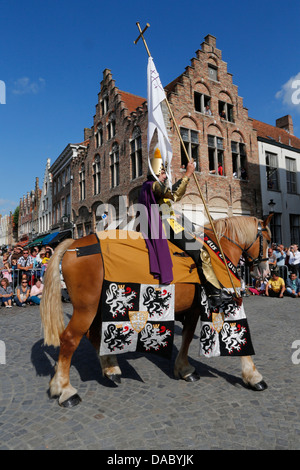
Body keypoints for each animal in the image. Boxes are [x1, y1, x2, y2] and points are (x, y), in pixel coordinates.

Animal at [39, 215, 272, 406]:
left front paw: (184, 369)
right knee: (69, 339)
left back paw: (111, 369)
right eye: (268, 240)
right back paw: (65, 390)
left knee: (93, 335)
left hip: (96, 308)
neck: (219, 252)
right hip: (86, 308)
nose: (266, 272)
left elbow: (187, 336)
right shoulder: (225, 302)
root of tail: (74, 244)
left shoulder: (194, 309)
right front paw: (254, 376)